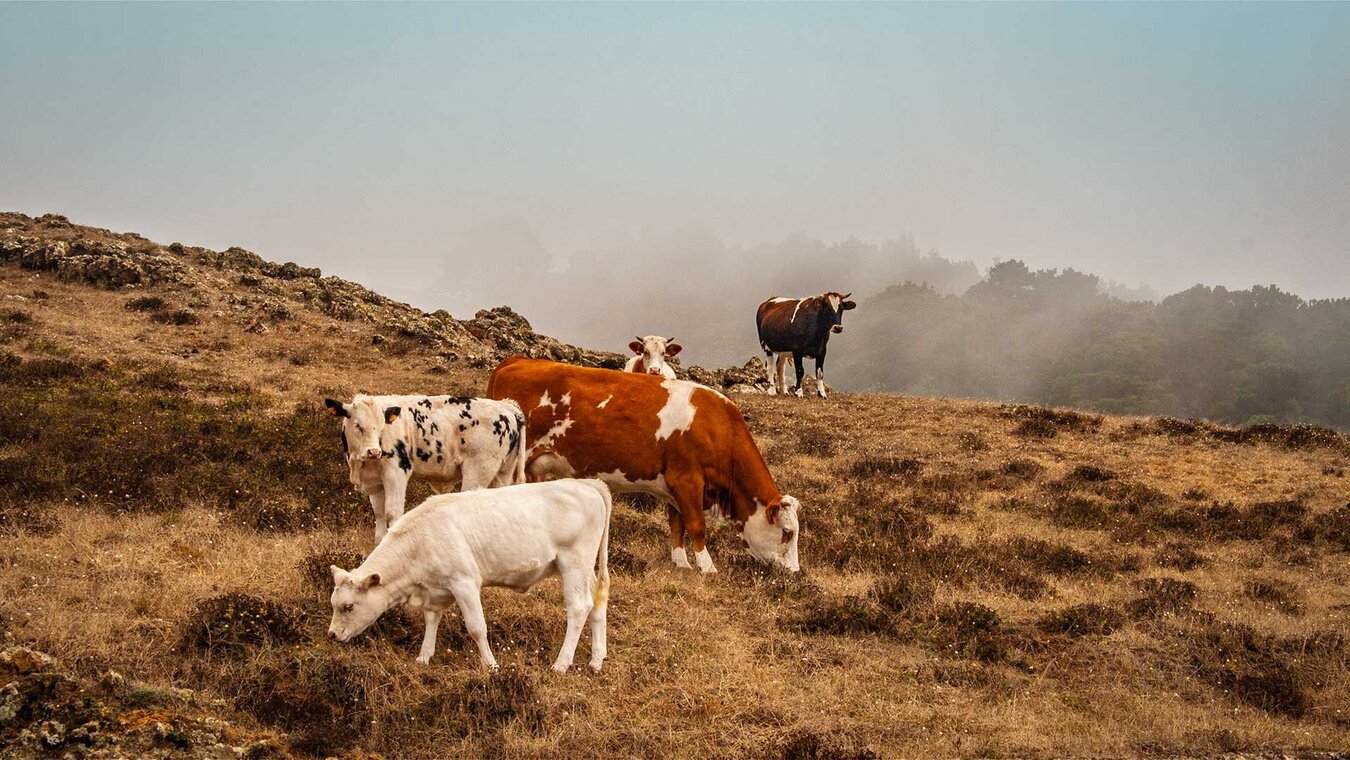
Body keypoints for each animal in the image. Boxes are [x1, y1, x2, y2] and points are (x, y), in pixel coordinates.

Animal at [326, 391, 526, 539]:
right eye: (357, 425)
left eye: (382, 427)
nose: (373, 452)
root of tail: (506, 406)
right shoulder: (375, 484)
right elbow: (380, 517)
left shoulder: (396, 472)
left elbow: (393, 513)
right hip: (502, 474)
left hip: (477, 472)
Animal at [329, 477, 615, 674]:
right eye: (334, 603)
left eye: (348, 606)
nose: (331, 635)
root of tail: (586, 483)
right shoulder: (435, 588)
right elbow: (431, 619)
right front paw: (424, 656)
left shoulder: (464, 582)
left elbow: (477, 627)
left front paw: (491, 666)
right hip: (586, 568)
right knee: (597, 601)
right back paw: (596, 660)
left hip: (574, 563)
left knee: (579, 607)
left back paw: (561, 664)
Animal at [488, 359, 793, 575]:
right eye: (788, 532)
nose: (794, 572)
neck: (717, 428)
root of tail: (516, 360)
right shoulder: (687, 479)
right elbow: (696, 525)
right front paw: (707, 568)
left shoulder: (675, 484)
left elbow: (676, 524)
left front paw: (681, 563)